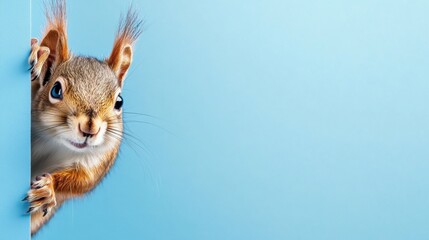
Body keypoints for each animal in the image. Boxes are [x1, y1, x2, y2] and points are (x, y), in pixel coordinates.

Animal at [24, 0, 141, 234]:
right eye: (56, 90)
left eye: (119, 101)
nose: (90, 129)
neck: (54, 142)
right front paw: (39, 52)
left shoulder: (100, 160)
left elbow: (82, 182)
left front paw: (48, 190)